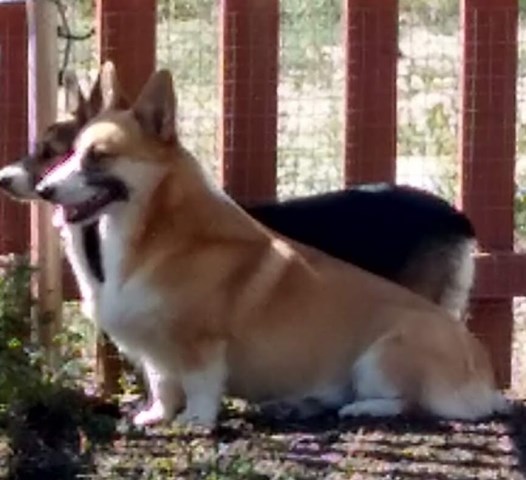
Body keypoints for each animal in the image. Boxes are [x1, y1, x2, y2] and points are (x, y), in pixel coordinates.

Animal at [36, 70, 508, 428]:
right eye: (71, 152)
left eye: (98, 156)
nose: (43, 190)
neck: (154, 234)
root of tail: (486, 380)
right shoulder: (158, 352)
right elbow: (163, 385)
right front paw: (156, 416)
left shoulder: (201, 344)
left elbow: (200, 386)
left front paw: (195, 423)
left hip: (381, 358)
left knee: (409, 403)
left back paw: (361, 408)